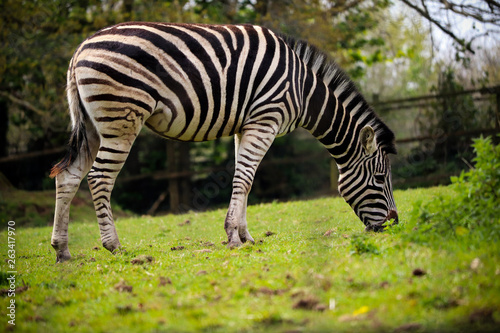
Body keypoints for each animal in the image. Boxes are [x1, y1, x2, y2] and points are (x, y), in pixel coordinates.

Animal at [49, 22, 398, 262]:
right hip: (120, 120)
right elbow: (243, 179)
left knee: (68, 177)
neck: (303, 88)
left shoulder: (246, 126)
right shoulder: (264, 120)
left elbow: (247, 181)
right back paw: (113, 245)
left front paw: (245, 235)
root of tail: (81, 49)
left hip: (92, 126)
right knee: (99, 178)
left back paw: (62, 250)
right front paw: (233, 236)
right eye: (381, 178)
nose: (393, 224)